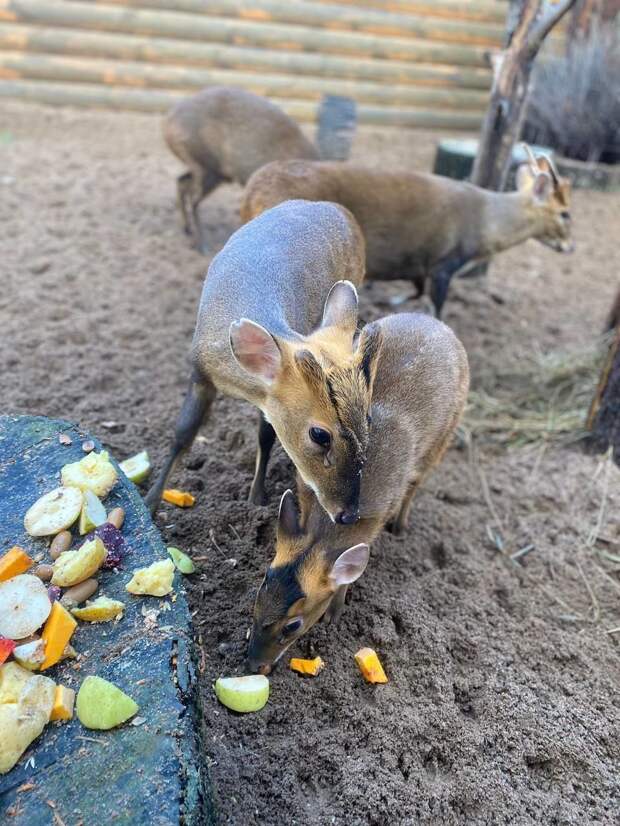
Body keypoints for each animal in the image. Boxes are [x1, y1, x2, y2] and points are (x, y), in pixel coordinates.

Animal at [147, 196, 386, 524]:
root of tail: (337, 208)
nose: (349, 514)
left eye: (368, 418)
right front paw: (149, 502)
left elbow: (265, 435)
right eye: (319, 434)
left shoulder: (268, 397)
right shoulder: (200, 371)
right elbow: (182, 433)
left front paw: (255, 498)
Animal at [163, 86, 320, 251]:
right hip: (204, 167)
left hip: (210, 170)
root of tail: (168, 121)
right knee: (193, 199)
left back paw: (187, 230)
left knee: (182, 182)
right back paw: (200, 244)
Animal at [240, 146, 572, 318]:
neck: (485, 221)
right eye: (566, 213)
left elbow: (417, 290)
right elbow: (436, 305)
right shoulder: (444, 263)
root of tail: (253, 190)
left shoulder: (419, 263)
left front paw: (390, 303)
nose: (570, 247)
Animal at [245, 312, 468, 672]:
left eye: (293, 625)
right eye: (258, 597)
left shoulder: (373, 519)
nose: (254, 665)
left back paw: (401, 527)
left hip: (444, 437)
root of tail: (438, 323)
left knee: (416, 484)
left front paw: (335, 614)